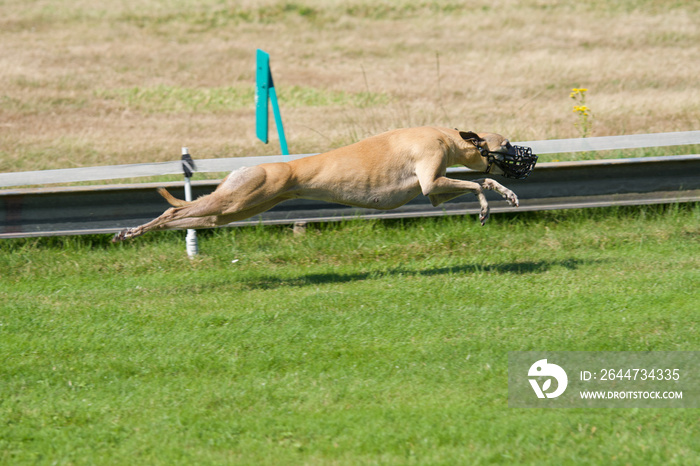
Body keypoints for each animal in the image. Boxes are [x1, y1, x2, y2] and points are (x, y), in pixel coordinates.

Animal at [112, 127, 536, 244]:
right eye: (507, 144)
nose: (529, 160)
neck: (445, 136)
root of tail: (250, 167)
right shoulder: (430, 179)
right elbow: (478, 183)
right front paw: (485, 208)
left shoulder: (432, 194)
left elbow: (482, 179)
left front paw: (507, 194)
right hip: (235, 201)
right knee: (172, 211)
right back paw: (129, 231)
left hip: (230, 211)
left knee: (183, 217)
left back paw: (134, 231)